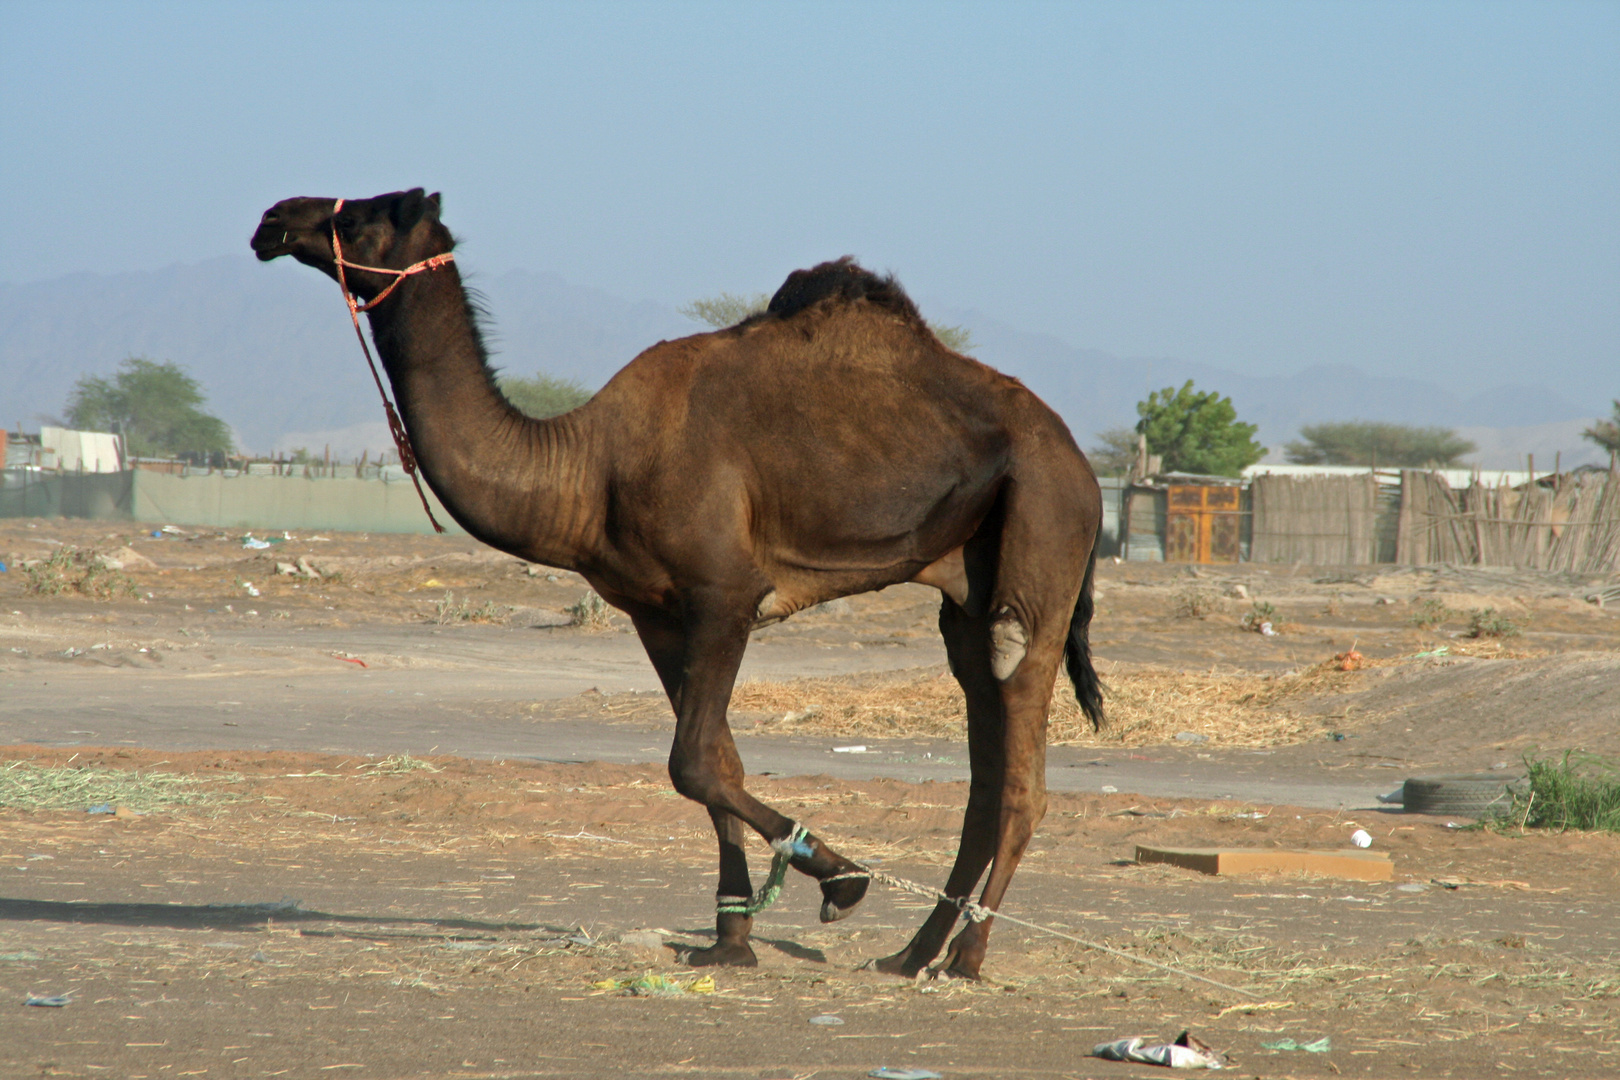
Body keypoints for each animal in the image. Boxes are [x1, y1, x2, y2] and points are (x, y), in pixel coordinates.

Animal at [252, 186, 1108, 977]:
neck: (588, 468)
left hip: (1044, 522)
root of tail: (1082, 462)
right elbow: (717, 763)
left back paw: (964, 957)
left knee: (1020, 749)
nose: (272, 220)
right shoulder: (658, 613)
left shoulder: (725, 592)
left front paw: (841, 877)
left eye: (363, 215)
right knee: (983, 762)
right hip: (966, 590)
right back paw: (912, 952)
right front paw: (731, 940)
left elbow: (690, 761)